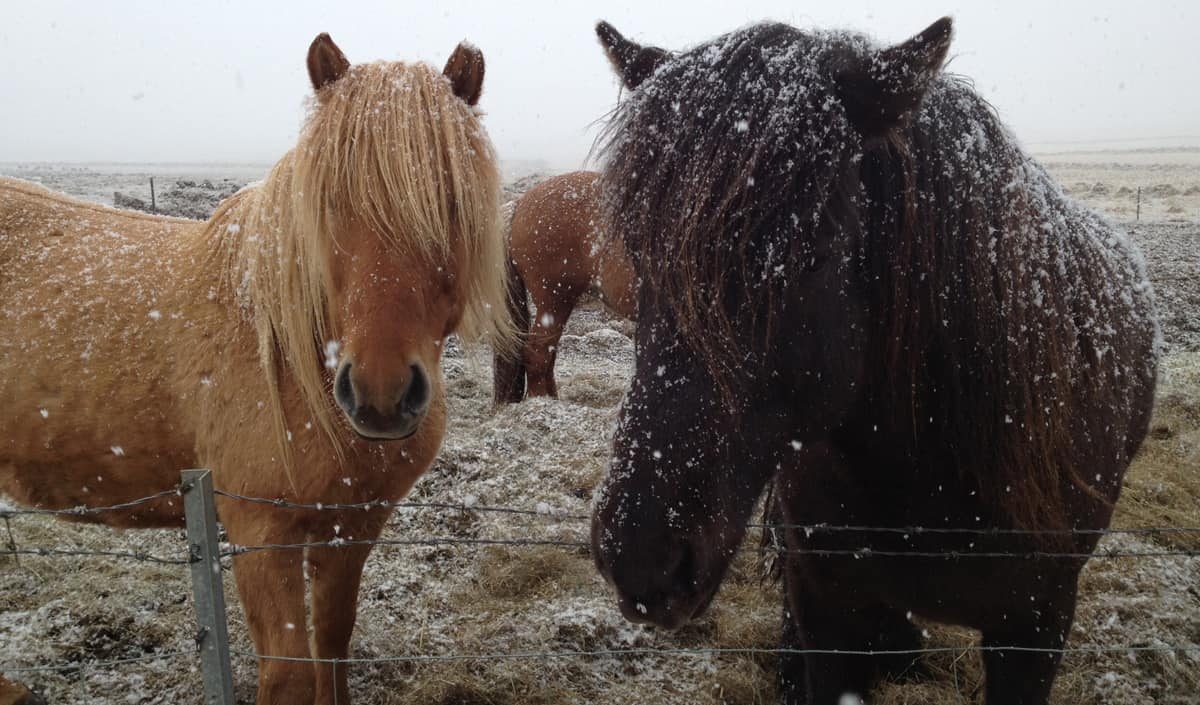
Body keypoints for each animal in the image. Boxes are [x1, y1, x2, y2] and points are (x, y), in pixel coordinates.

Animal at [0, 34, 509, 705]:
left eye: (450, 201)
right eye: (329, 203)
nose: (380, 395)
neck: (292, 363)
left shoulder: (352, 526)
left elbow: (333, 644)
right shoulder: (261, 531)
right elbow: (288, 674)